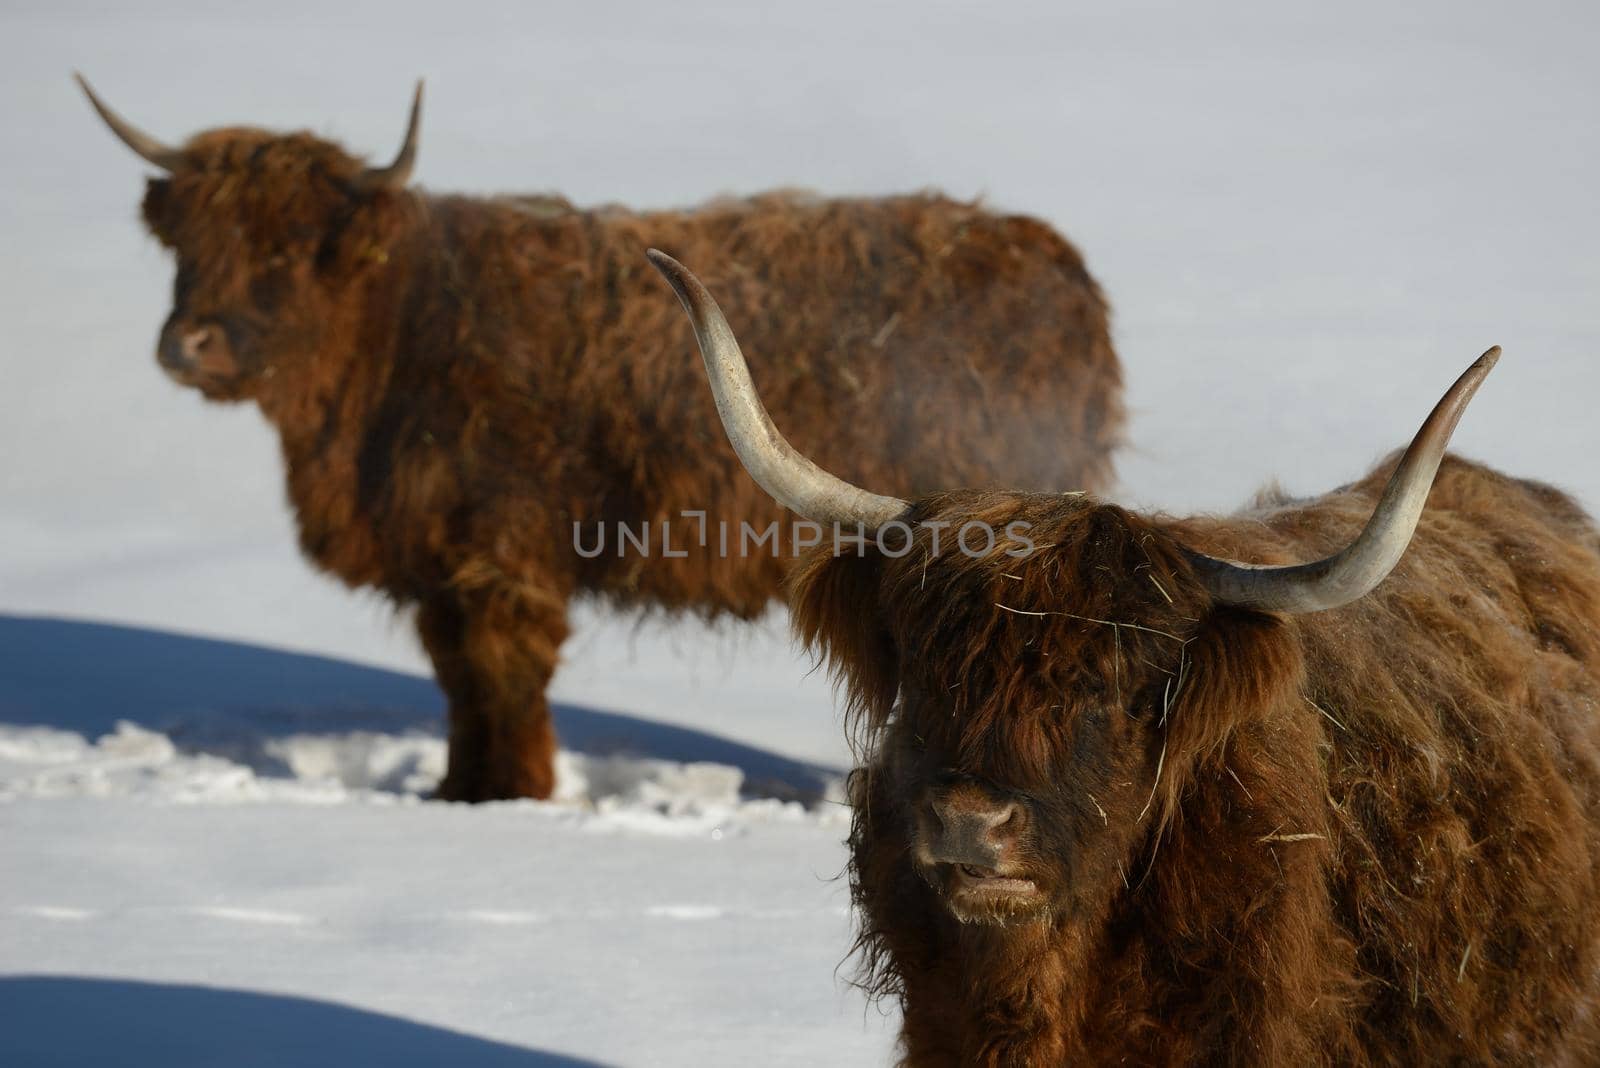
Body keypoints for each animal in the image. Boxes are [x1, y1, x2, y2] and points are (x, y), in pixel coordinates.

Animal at [78, 79, 1126, 799]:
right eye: (188, 245)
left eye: (288, 247)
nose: (188, 344)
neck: (401, 333)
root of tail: (1053, 263)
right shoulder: (443, 567)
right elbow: (460, 684)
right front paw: (457, 793)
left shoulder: (500, 558)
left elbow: (504, 681)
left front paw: (509, 798)